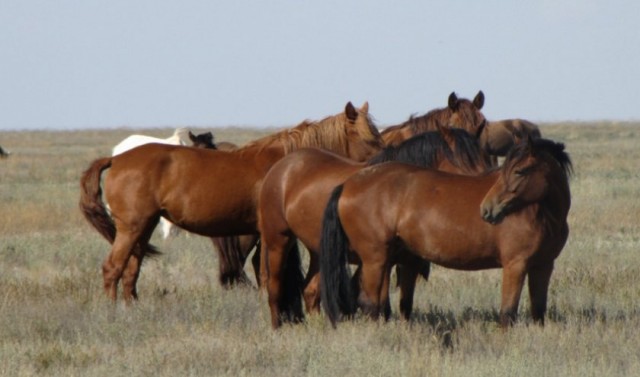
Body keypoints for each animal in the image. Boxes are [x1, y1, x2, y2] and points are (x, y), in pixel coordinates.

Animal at [77, 101, 382, 302]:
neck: (287, 165)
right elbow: (265, 271)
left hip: (144, 227)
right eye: (370, 139)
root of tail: (116, 158)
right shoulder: (265, 232)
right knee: (112, 268)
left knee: (131, 269)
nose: (384, 161)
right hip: (132, 227)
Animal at [258, 122, 492, 326]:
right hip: (278, 242)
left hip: (318, 252)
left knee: (311, 290)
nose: (485, 208)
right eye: (465, 169)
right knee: (275, 288)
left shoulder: (397, 261)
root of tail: (282, 166)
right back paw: (277, 327)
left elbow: (398, 304)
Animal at [322, 134, 572, 326]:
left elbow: (538, 311)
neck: (541, 215)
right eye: (505, 171)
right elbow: (507, 314)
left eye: (520, 171)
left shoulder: (543, 266)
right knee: (370, 304)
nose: (487, 209)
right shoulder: (515, 265)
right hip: (374, 259)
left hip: (385, 259)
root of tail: (348, 184)